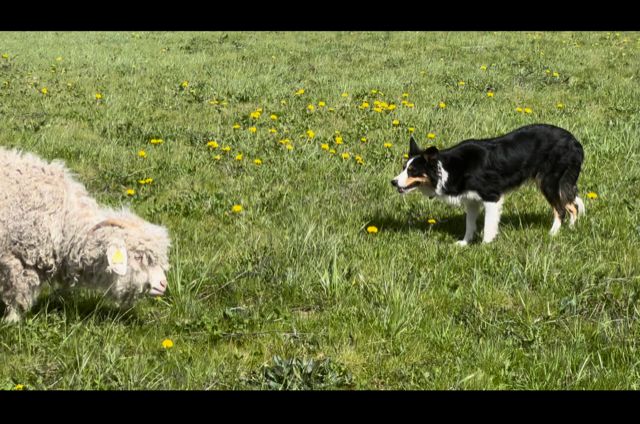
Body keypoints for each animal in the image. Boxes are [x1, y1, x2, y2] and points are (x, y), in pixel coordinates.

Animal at [0, 147, 171, 322]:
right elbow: (17, 296)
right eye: (138, 258)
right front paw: (11, 321)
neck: (65, 221)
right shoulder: (19, 261)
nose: (163, 284)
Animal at [390, 122, 584, 245]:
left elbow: (489, 226)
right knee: (572, 206)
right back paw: (572, 230)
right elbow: (469, 225)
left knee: (561, 209)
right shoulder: (471, 200)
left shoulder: (492, 197)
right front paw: (464, 243)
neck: (448, 169)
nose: (393, 182)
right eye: (403, 167)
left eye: (412, 171)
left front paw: (485, 246)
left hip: (549, 182)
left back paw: (553, 234)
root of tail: (575, 141)